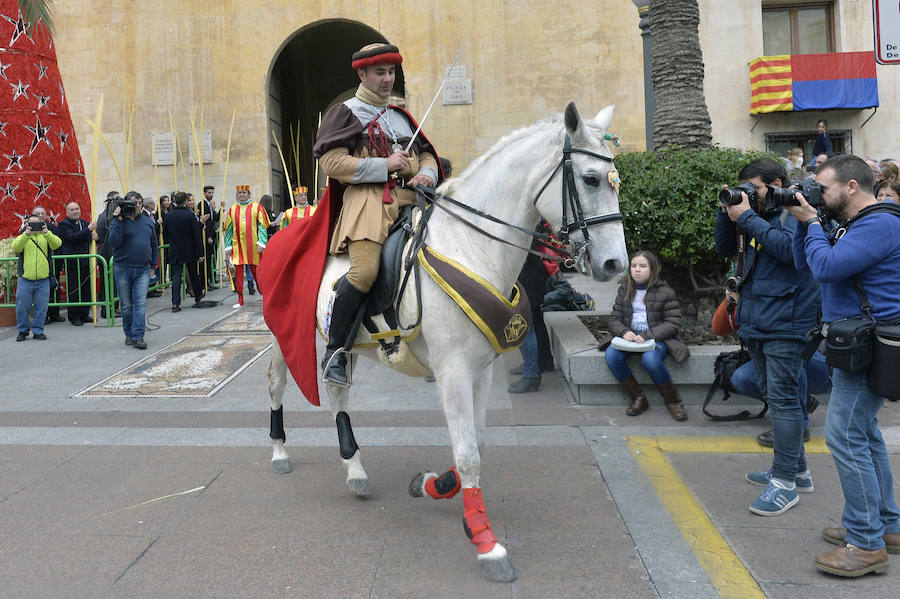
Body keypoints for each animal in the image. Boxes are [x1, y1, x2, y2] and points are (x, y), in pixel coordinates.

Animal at [266, 102, 624, 580]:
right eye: (590, 179)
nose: (615, 263)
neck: (469, 247)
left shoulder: (482, 368)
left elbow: (477, 444)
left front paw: (433, 485)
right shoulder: (453, 371)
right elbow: (469, 451)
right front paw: (487, 543)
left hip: (349, 343)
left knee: (338, 388)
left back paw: (354, 468)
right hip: (280, 335)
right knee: (276, 384)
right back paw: (279, 452)